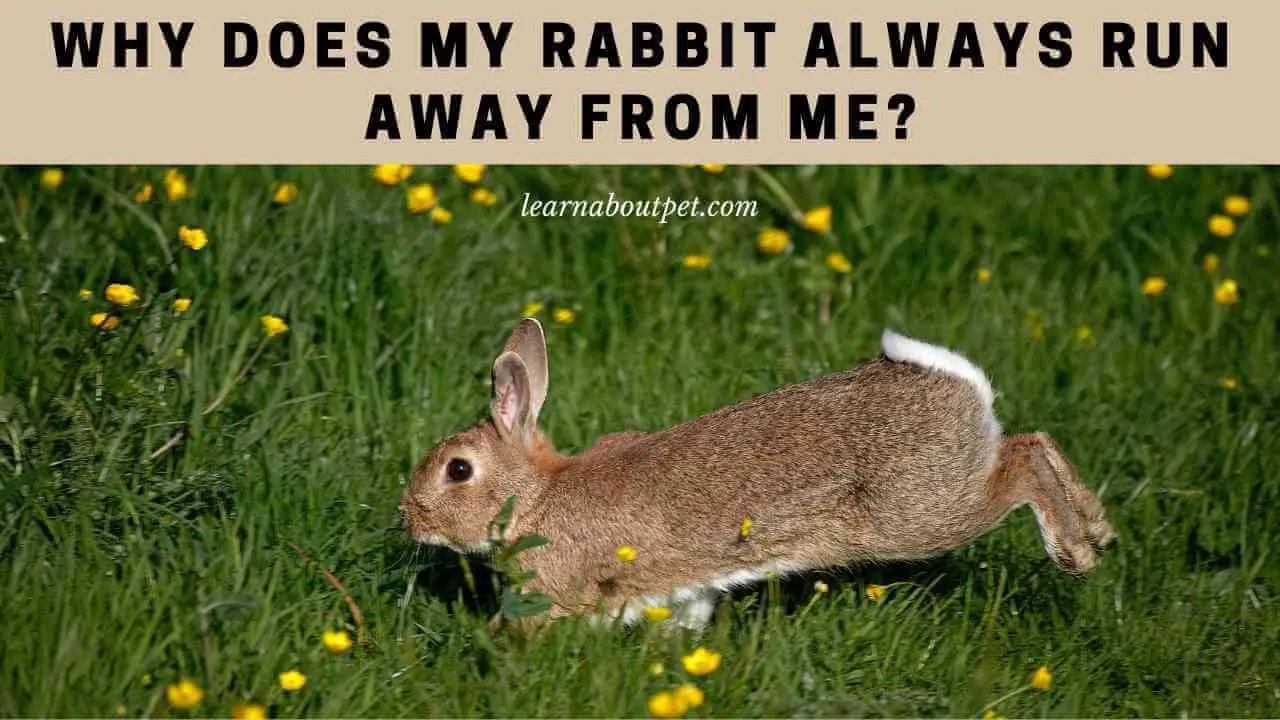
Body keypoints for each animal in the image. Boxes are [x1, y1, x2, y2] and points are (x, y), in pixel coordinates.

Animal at [400, 318, 1115, 630]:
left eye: (457, 471)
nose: (407, 518)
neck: (534, 498)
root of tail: (960, 389)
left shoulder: (555, 592)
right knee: (1034, 440)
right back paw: (1098, 531)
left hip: (920, 511)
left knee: (1020, 465)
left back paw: (1073, 551)